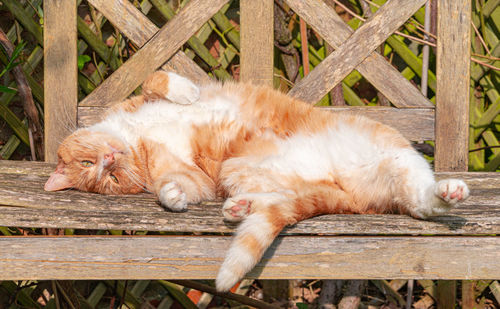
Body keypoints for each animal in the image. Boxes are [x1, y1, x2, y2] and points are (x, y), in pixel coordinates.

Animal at [44, 70, 468, 292]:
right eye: (108, 179)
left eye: (96, 166)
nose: (109, 160)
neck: (137, 136)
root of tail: (343, 191)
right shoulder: (197, 177)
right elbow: (175, 188)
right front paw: (173, 197)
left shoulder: (143, 99)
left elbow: (157, 78)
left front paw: (187, 92)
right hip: (239, 170)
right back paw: (239, 207)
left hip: (393, 155)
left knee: (421, 198)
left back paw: (449, 190)